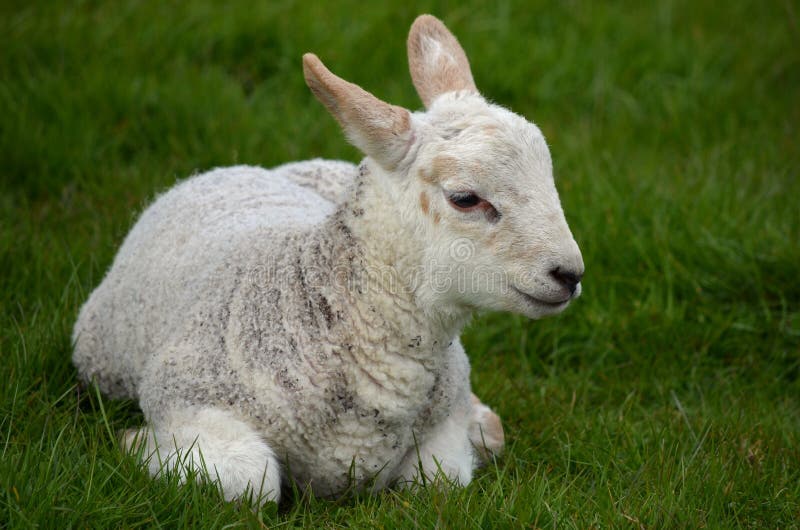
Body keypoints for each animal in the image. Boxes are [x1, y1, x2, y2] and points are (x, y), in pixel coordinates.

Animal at [72, 14, 584, 505]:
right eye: (465, 198)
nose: (570, 274)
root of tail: (238, 169)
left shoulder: (441, 429)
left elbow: (440, 481)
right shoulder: (185, 390)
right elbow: (249, 480)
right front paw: (137, 442)